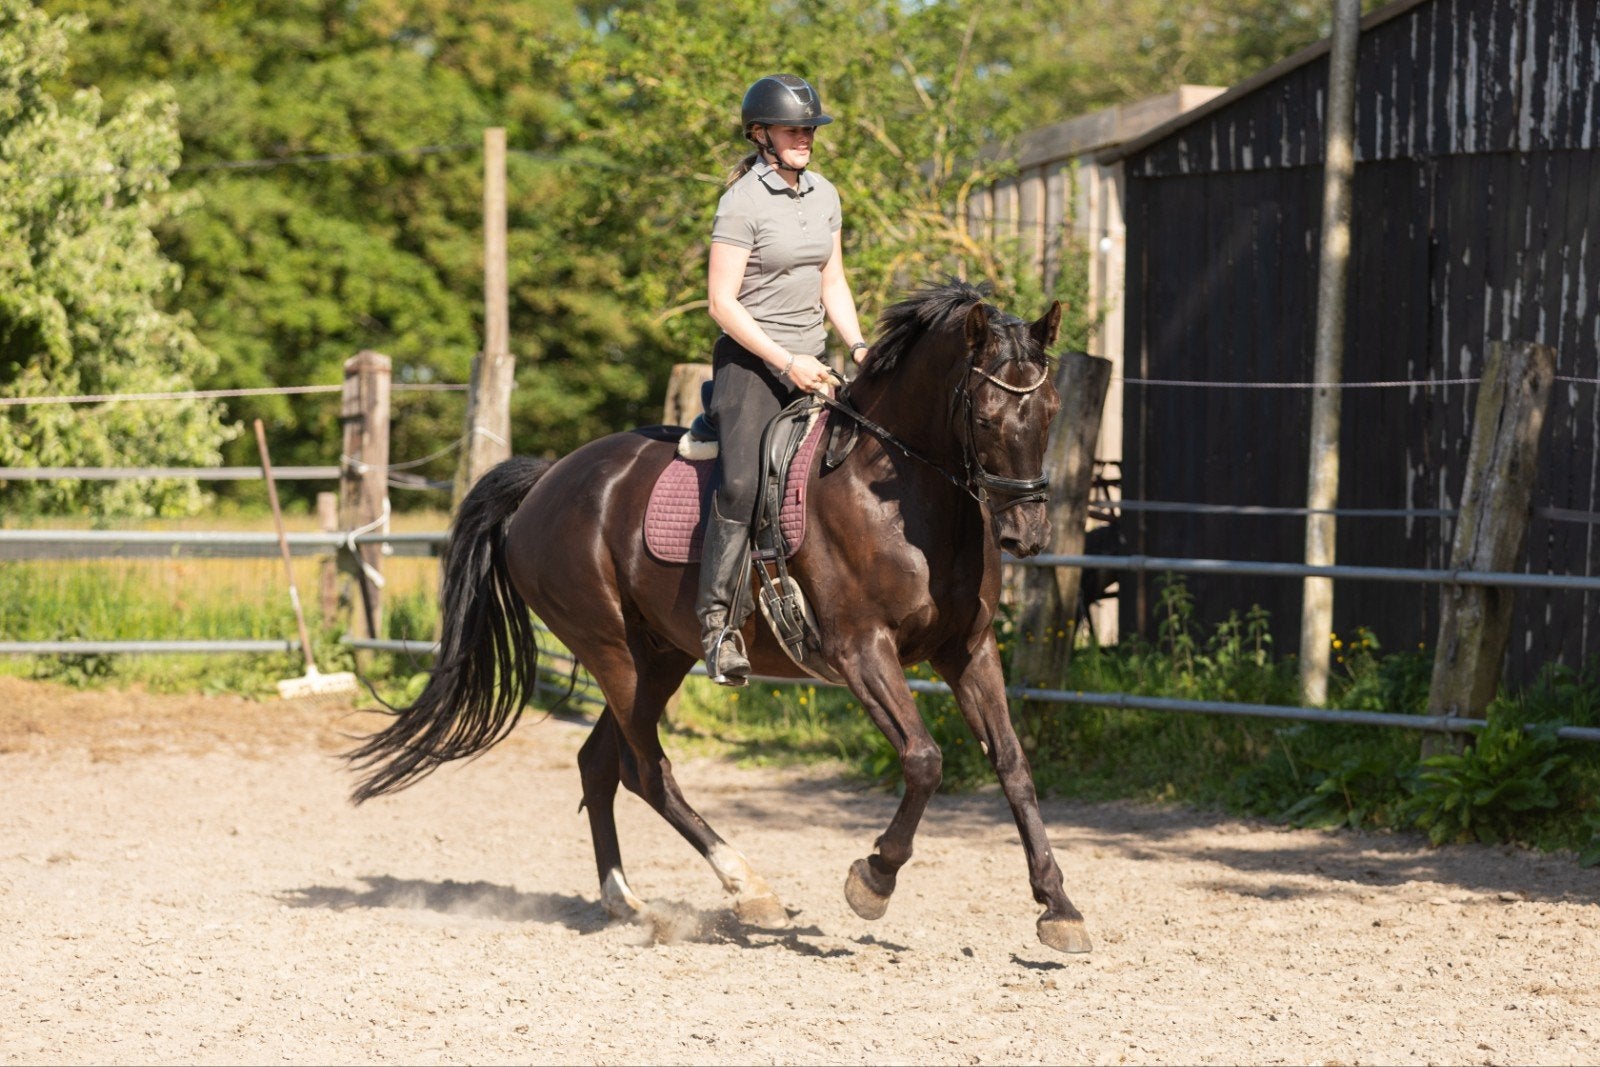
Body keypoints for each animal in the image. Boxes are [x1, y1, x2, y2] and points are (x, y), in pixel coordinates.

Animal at [347, 279, 1092, 954]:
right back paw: (749, 889)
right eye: (986, 417)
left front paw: (1059, 908)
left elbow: (1014, 766)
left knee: (600, 763)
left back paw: (627, 902)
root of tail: (546, 481)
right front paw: (872, 880)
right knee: (647, 770)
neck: (900, 496)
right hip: (612, 650)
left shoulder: (968, 649)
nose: (1026, 533)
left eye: (1052, 409)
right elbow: (925, 759)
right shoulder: (860, 650)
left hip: (660, 656)